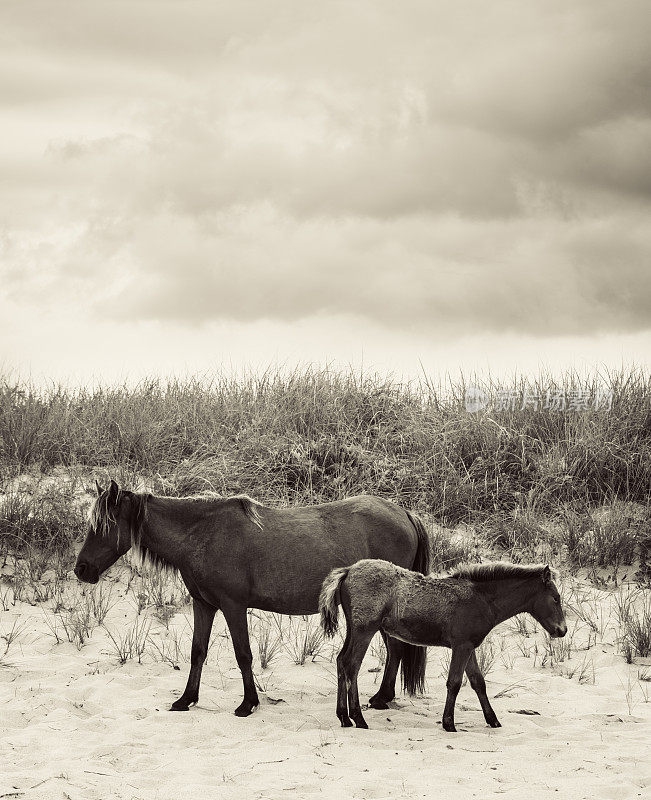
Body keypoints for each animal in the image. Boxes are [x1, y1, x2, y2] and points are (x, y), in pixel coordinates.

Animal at [74, 482, 430, 720]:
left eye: (103, 526)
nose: (81, 569)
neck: (202, 534)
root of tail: (405, 513)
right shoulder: (204, 605)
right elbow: (197, 652)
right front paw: (186, 699)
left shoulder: (233, 606)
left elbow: (243, 654)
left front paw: (248, 704)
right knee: (396, 649)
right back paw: (382, 698)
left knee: (395, 649)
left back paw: (381, 698)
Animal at [320, 560, 564, 728]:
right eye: (556, 598)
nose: (562, 630)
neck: (482, 598)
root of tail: (348, 571)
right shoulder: (461, 646)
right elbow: (454, 683)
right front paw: (449, 723)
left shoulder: (469, 647)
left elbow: (478, 682)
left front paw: (493, 720)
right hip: (365, 630)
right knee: (351, 665)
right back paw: (358, 718)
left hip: (354, 630)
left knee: (341, 662)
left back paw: (344, 717)